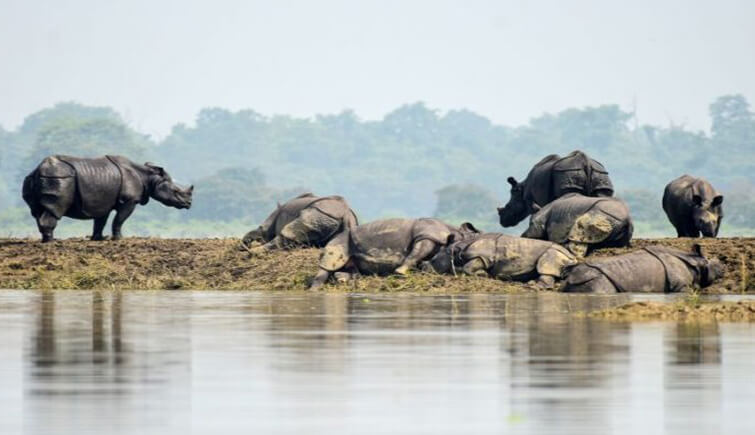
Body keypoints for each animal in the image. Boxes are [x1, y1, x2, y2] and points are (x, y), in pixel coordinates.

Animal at [24, 154, 195, 242]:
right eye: (176, 191)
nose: (189, 204)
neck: (149, 177)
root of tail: (39, 169)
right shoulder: (129, 200)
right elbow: (119, 219)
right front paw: (119, 239)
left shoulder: (102, 201)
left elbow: (101, 221)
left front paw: (98, 239)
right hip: (59, 178)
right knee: (55, 209)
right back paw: (52, 242)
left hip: (35, 178)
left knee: (37, 211)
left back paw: (47, 240)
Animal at [308, 218, 478, 290]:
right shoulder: (427, 235)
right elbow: (417, 252)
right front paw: (401, 272)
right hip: (341, 239)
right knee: (331, 261)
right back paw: (315, 289)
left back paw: (341, 279)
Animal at [426, 233, 580, 288]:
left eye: (433, 260)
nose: (424, 268)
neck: (457, 249)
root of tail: (572, 257)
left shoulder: (482, 257)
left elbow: (468, 268)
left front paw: (483, 274)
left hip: (554, 252)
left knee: (546, 263)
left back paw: (533, 286)